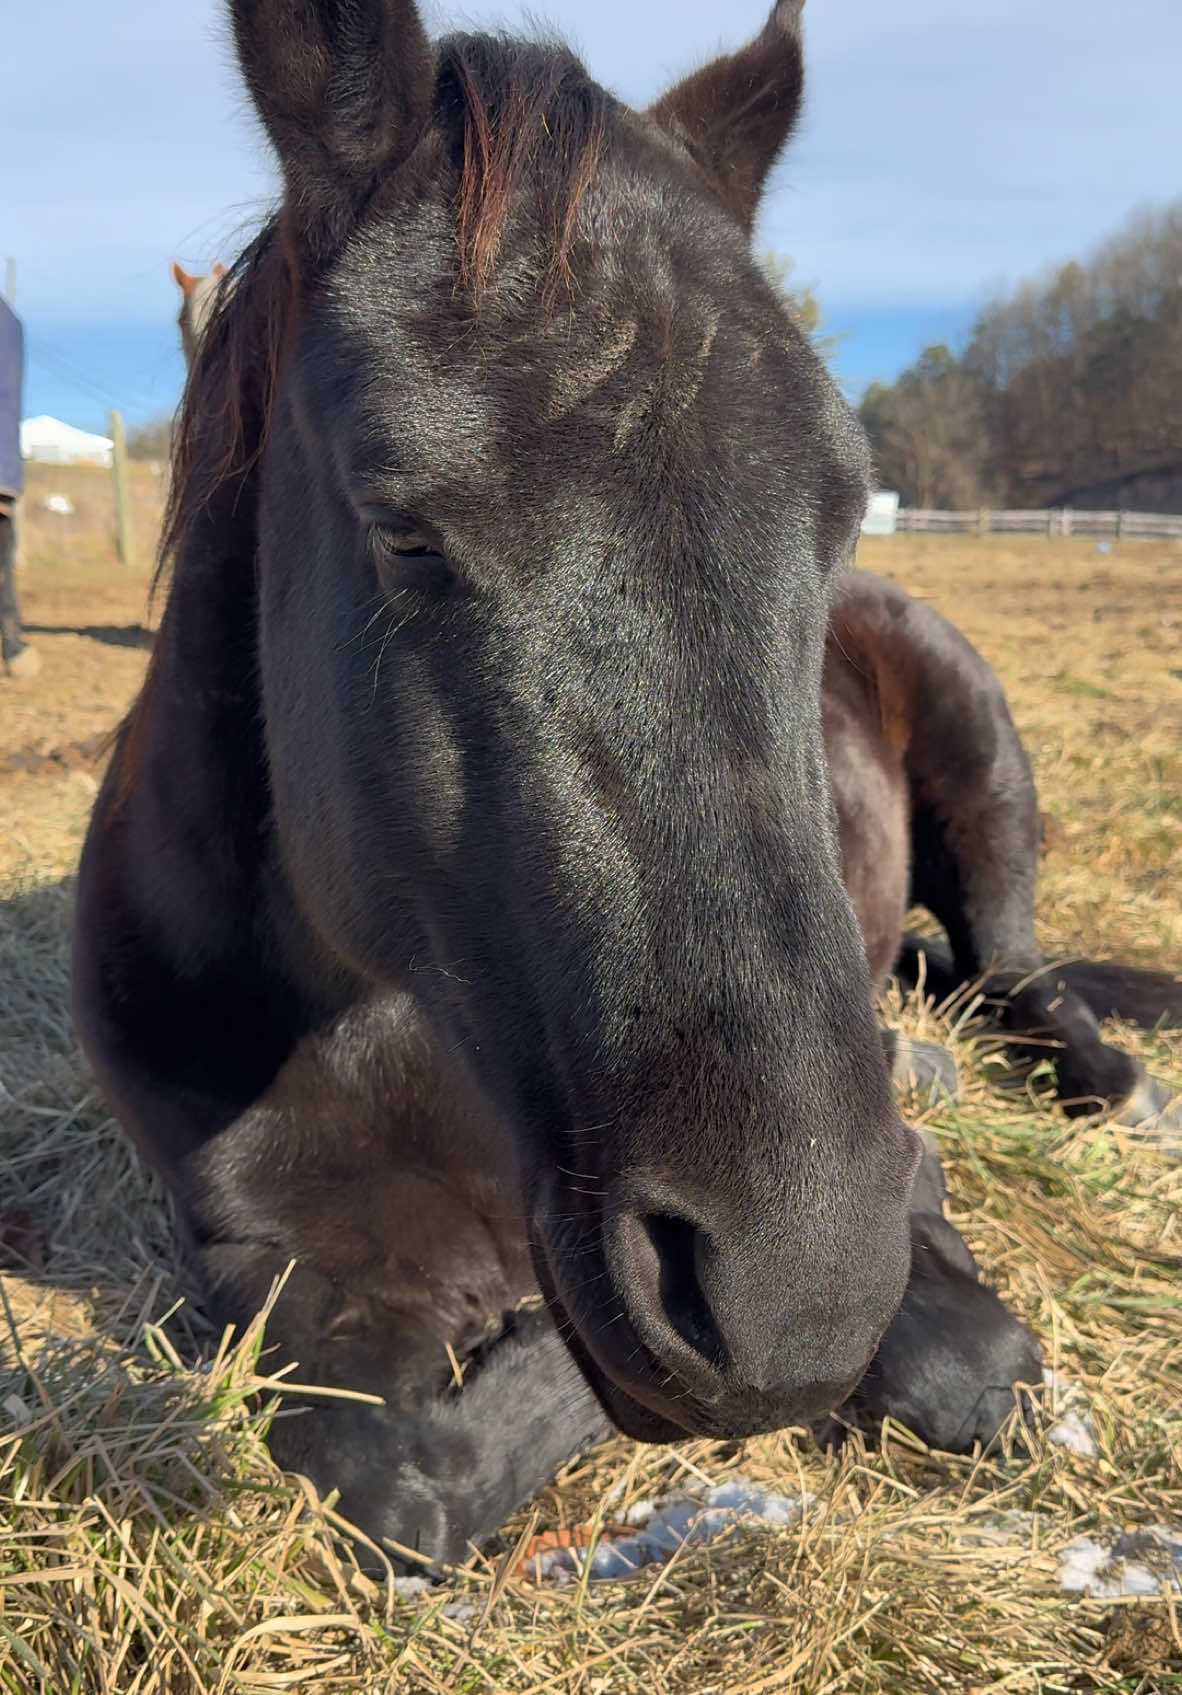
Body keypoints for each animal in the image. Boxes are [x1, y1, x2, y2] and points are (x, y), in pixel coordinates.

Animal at [73, 0, 1173, 1559]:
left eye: (838, 513)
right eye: (401, 530)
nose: (792, 1290)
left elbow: (969, 1362)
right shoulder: (256, 1263)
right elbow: (393, 1471)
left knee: (1012, 962)